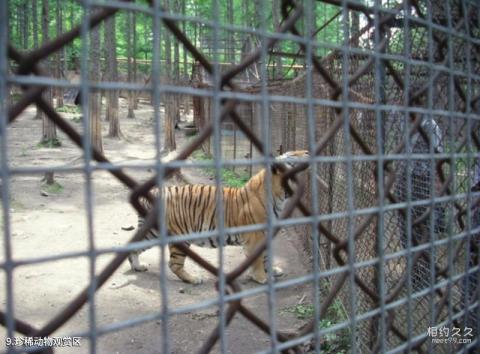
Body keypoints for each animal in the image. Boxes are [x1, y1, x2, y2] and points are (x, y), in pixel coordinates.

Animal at [127, 150, 310, 284]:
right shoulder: (255, 236)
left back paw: (138, 267)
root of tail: (153, 193)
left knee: (135, 246)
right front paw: (262, 278)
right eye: (293, 154)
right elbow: (258, 260)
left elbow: (266, 257)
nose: (308, 151)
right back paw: (193, 279)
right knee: (174, 264)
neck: (281, 196)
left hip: (153, 232)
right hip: (179, 236)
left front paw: (272, 271)